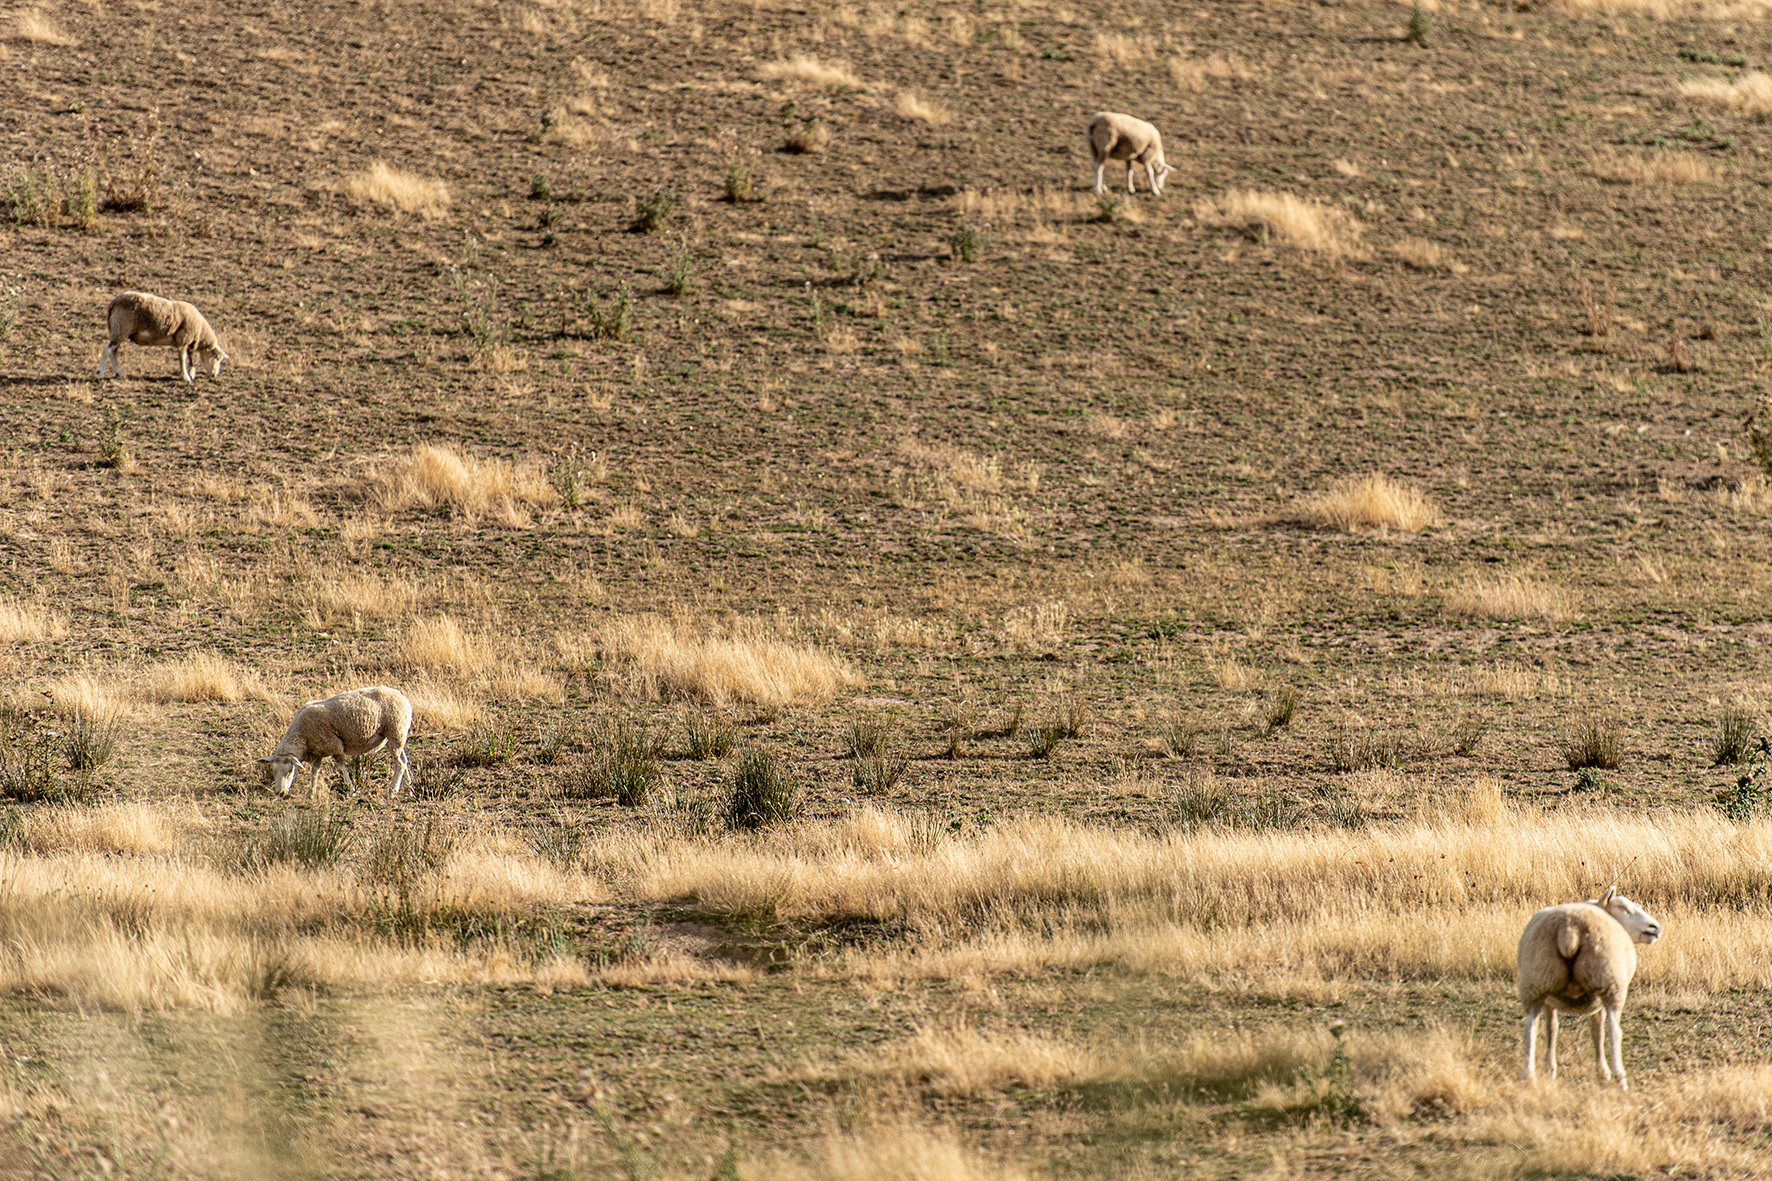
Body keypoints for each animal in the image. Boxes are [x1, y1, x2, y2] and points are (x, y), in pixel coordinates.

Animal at [96, 292, 226, 384]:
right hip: (121, 328)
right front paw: (186, 377)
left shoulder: (186, 342)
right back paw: (100, 373)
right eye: (217, 358)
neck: (200, 332)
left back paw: (119, 374)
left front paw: (190, 373)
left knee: (113, 351)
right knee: (107, 349)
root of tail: (113, 303)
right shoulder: (183, 339)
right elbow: (183, 358)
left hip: (120, 331)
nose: (214, 375)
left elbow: (190, 359)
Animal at [258, 684, 412, 794]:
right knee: (404, 760)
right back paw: (408, 787)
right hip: (392, 738)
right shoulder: (319, 750)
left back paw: (393, 790)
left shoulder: (335, 746)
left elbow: (341, 767)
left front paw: (350, 788)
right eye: (272, 771)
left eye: (290, 770)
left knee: (400, 763)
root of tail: (403, 697)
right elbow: (315, 770)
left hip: (395, 731)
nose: (280, 793)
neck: (301, 736)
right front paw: (311, 793)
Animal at [1523, 883, 1658, 1085]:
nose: (1655, 927)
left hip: (1537, 980)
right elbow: (1598, 1031)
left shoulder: (1549, 999)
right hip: (1610, 982)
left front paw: (1549, 1068)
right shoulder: (1599, 997)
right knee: (1614, 1030)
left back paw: (1528, 1076)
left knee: (1529, 1026)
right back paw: (1620, 1076)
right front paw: (1603, 1071)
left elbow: (1552, 1029)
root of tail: (1569, 930)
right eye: (1624, 908)